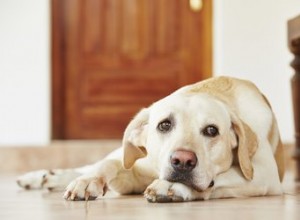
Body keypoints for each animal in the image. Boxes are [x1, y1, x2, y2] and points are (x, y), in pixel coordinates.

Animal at [16, 76, 284, 202]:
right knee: (95, 163)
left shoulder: (263, 175)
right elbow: (107, 165)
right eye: (164, 125)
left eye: (211, 131)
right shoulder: (131, 167)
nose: (182, 161)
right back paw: (44, 177)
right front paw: (87, 182)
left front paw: (172, 186)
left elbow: (220, 178)